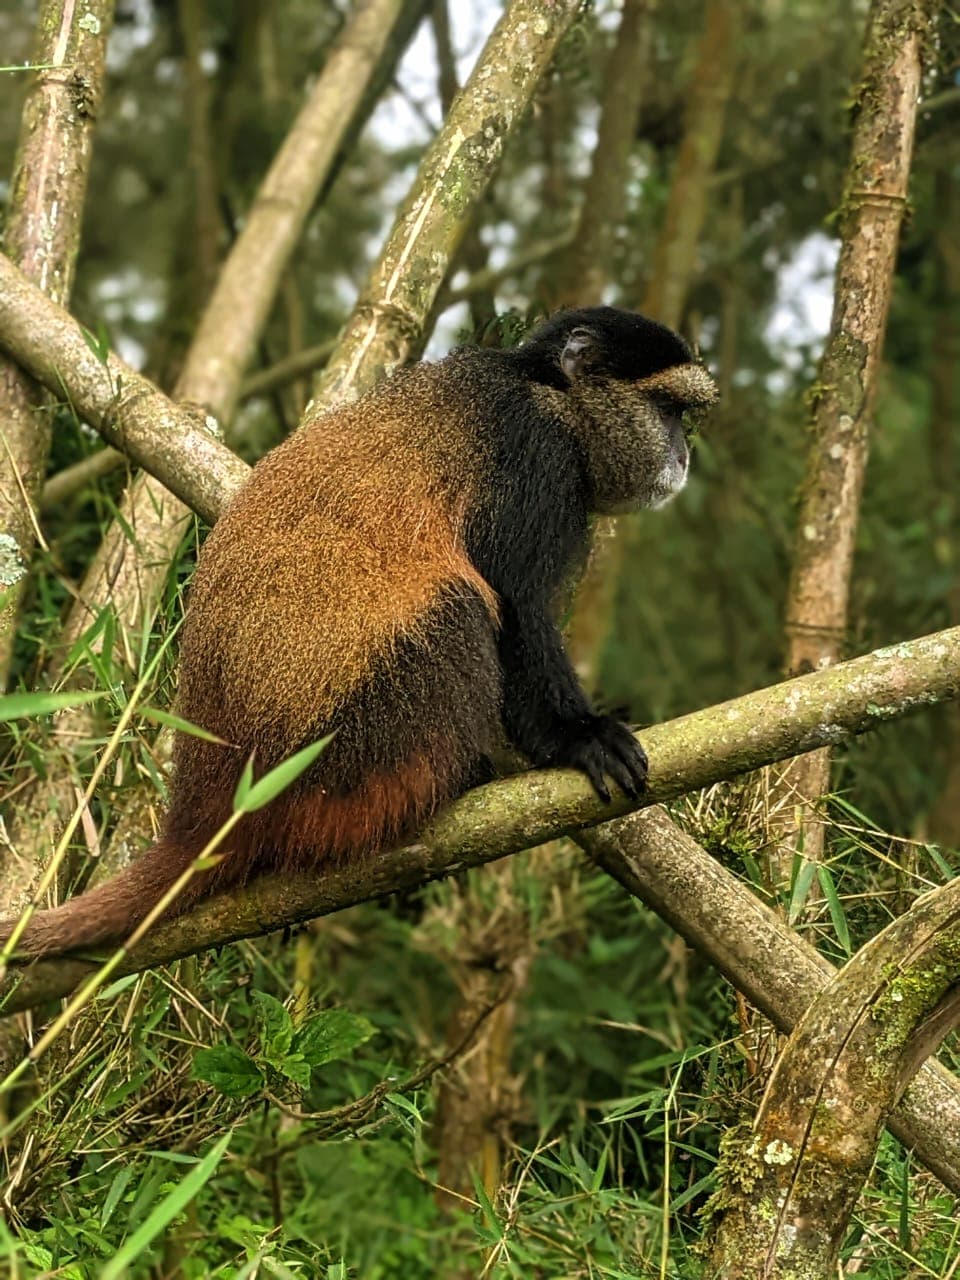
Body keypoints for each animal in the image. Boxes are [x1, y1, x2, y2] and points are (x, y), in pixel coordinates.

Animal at [0, 307, 717, 959]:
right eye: (668, 411)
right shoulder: (533, 455)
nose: (682, 457)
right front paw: (578, 737)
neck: (552, 393)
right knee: (457, 606)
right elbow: (514, 602)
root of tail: (205, 808)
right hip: (342, 754)